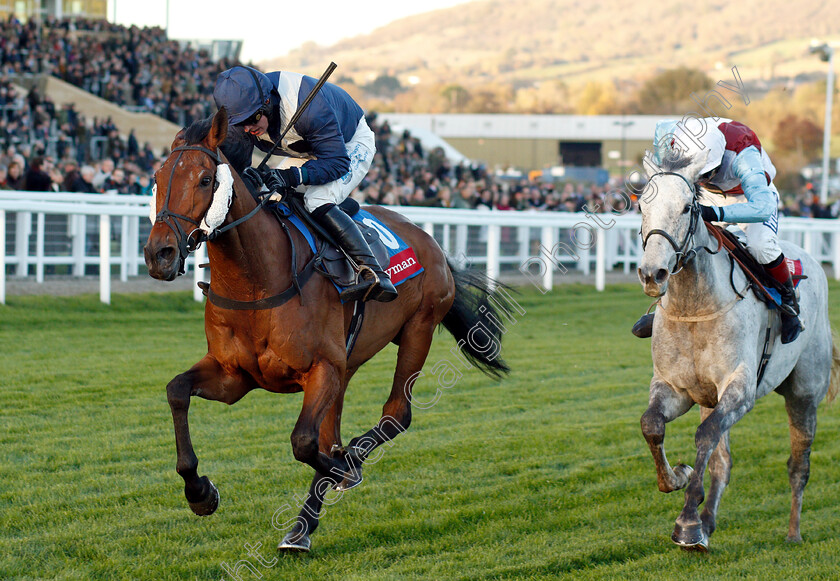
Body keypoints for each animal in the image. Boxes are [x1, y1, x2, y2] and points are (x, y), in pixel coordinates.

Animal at [144, 107, 508, 548]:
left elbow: (302, 442)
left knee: (394, 416)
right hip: (347, 362)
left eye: (204, 179)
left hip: (417, 329)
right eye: (158, 178)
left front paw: (345, 468)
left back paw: (323, 497)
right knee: (332, 429)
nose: (159, 254)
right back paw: (303, 525)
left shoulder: (320, 368)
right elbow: (177, 390)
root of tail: (428, 239)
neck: (257, 281)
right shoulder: (235, 376)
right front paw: (200, 492)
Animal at [636, 148, 840, 548]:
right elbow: (653, 425)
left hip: (804, 394)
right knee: (722, 460)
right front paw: (679, 478)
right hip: (709, 399)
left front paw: (687, 523)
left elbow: (705, 436)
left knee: (799, 465)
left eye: (687, 207)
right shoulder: (676, 388)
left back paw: (793, 532)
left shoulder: (740, 389)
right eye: (641, 207)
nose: (653, 274)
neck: (695, 308)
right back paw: (709, 521)